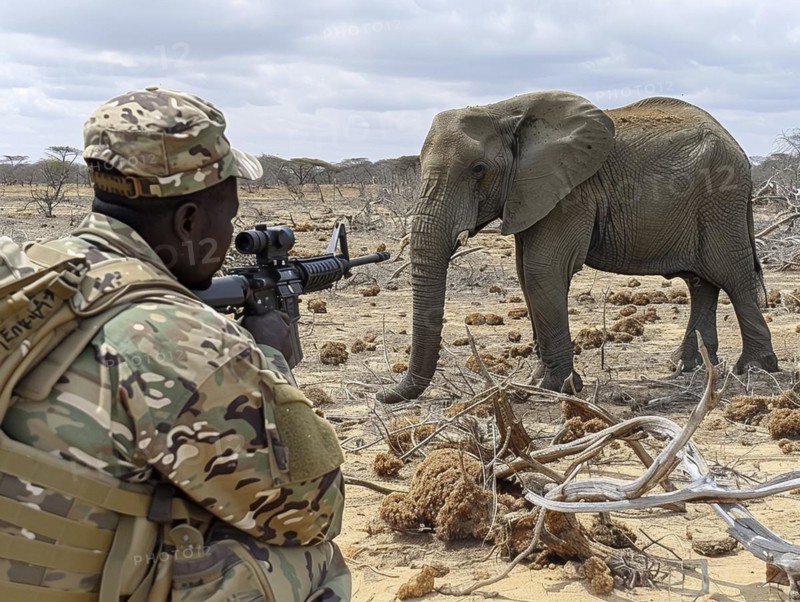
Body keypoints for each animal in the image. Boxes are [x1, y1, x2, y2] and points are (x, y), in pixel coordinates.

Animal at [377, 90, 778, 404]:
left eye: (478, 169)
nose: (381, 395)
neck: (503, 110)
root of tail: (739, 148)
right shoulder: (531, 192)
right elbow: (526, 274)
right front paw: (540, 381)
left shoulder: (570, 193)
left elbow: (542, 270)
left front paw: (556, 387)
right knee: (701, 282)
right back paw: (685, 367)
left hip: (721, 199)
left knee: (734, 276)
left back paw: (755, 370)